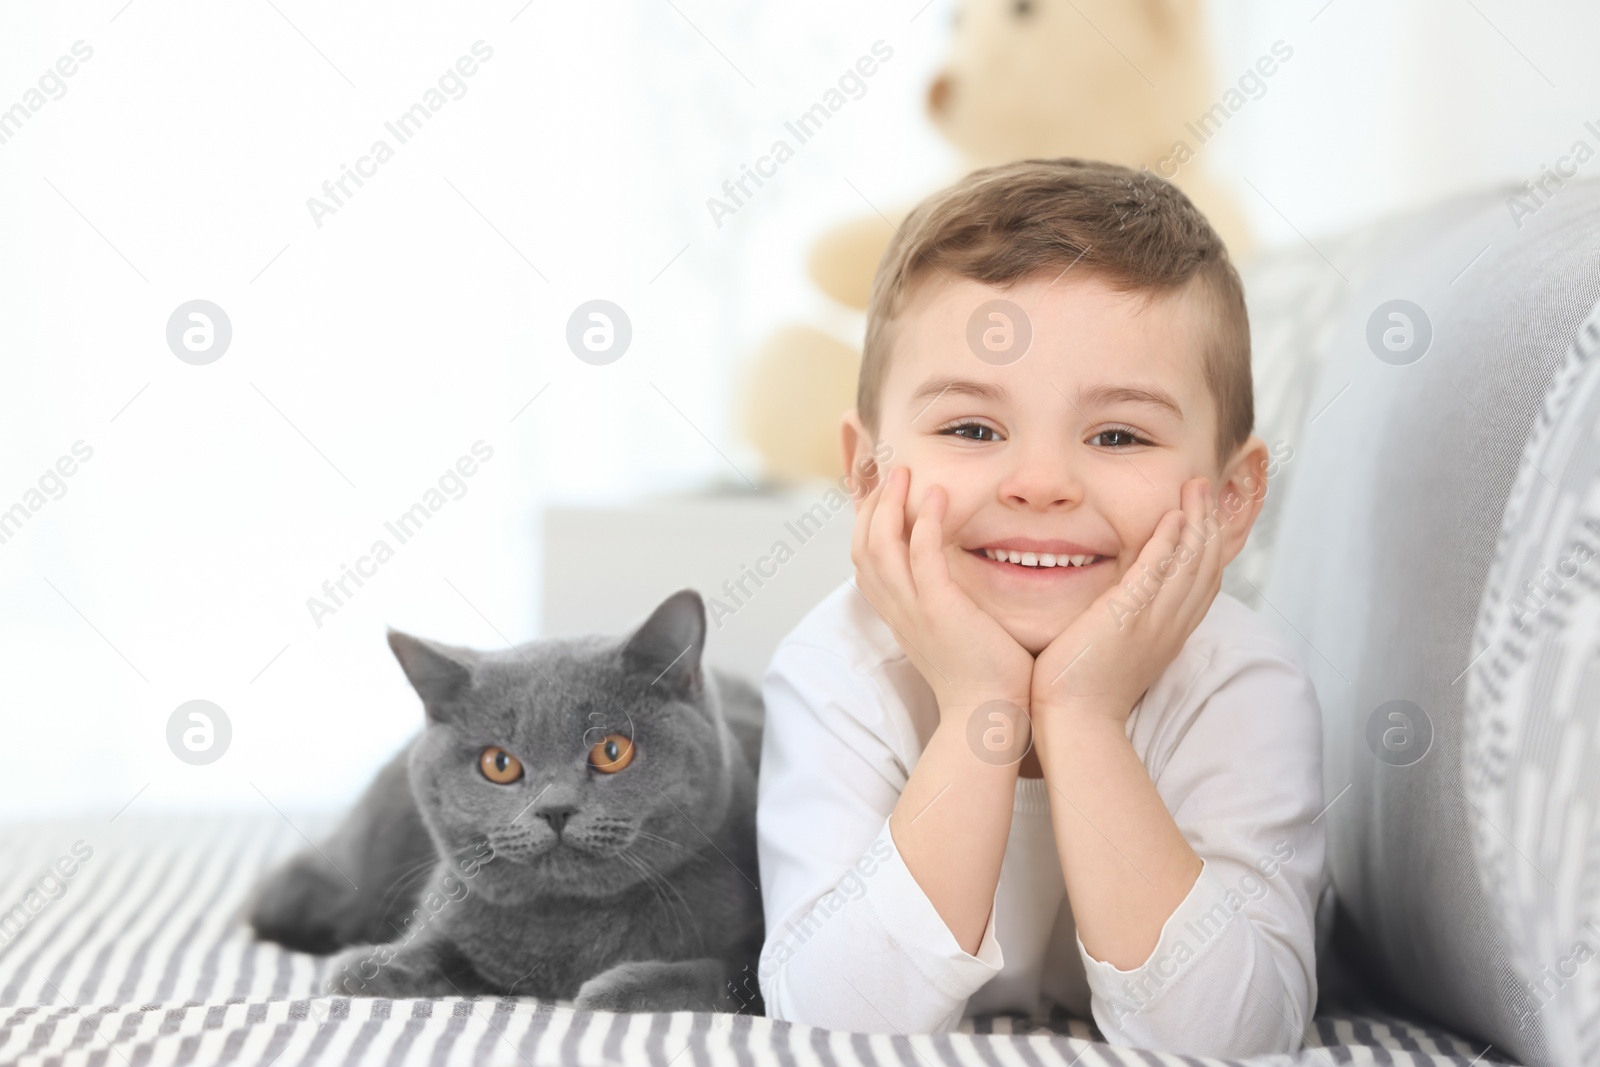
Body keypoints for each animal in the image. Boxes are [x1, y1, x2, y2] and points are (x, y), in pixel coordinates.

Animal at [249, 591, 768, 1017]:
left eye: (612, 750)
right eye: (498, 763)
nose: (555, 808)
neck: (571, 929)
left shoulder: (751, 956)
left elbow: (715, 975)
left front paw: (616, 988)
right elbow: (436, 947)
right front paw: (372, 966)